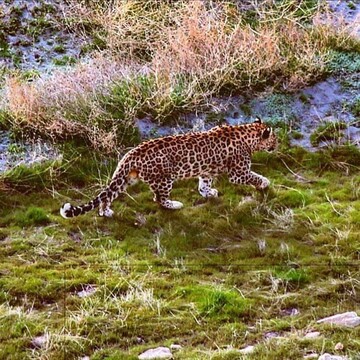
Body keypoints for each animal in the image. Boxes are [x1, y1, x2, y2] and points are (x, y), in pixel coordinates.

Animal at [60, 119, 278, 218]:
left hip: (125, 178)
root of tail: (131, 154)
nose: (277, 144)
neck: (247, 133)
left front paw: (208, 193)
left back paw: (105, 212)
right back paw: (174, 204)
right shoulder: (238, 173)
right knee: (158, 198)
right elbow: (254, 176)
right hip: (164, 179)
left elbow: (204, 184)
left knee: (107, 196)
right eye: (274, 138)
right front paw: (265, 183)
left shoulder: (207, 171)